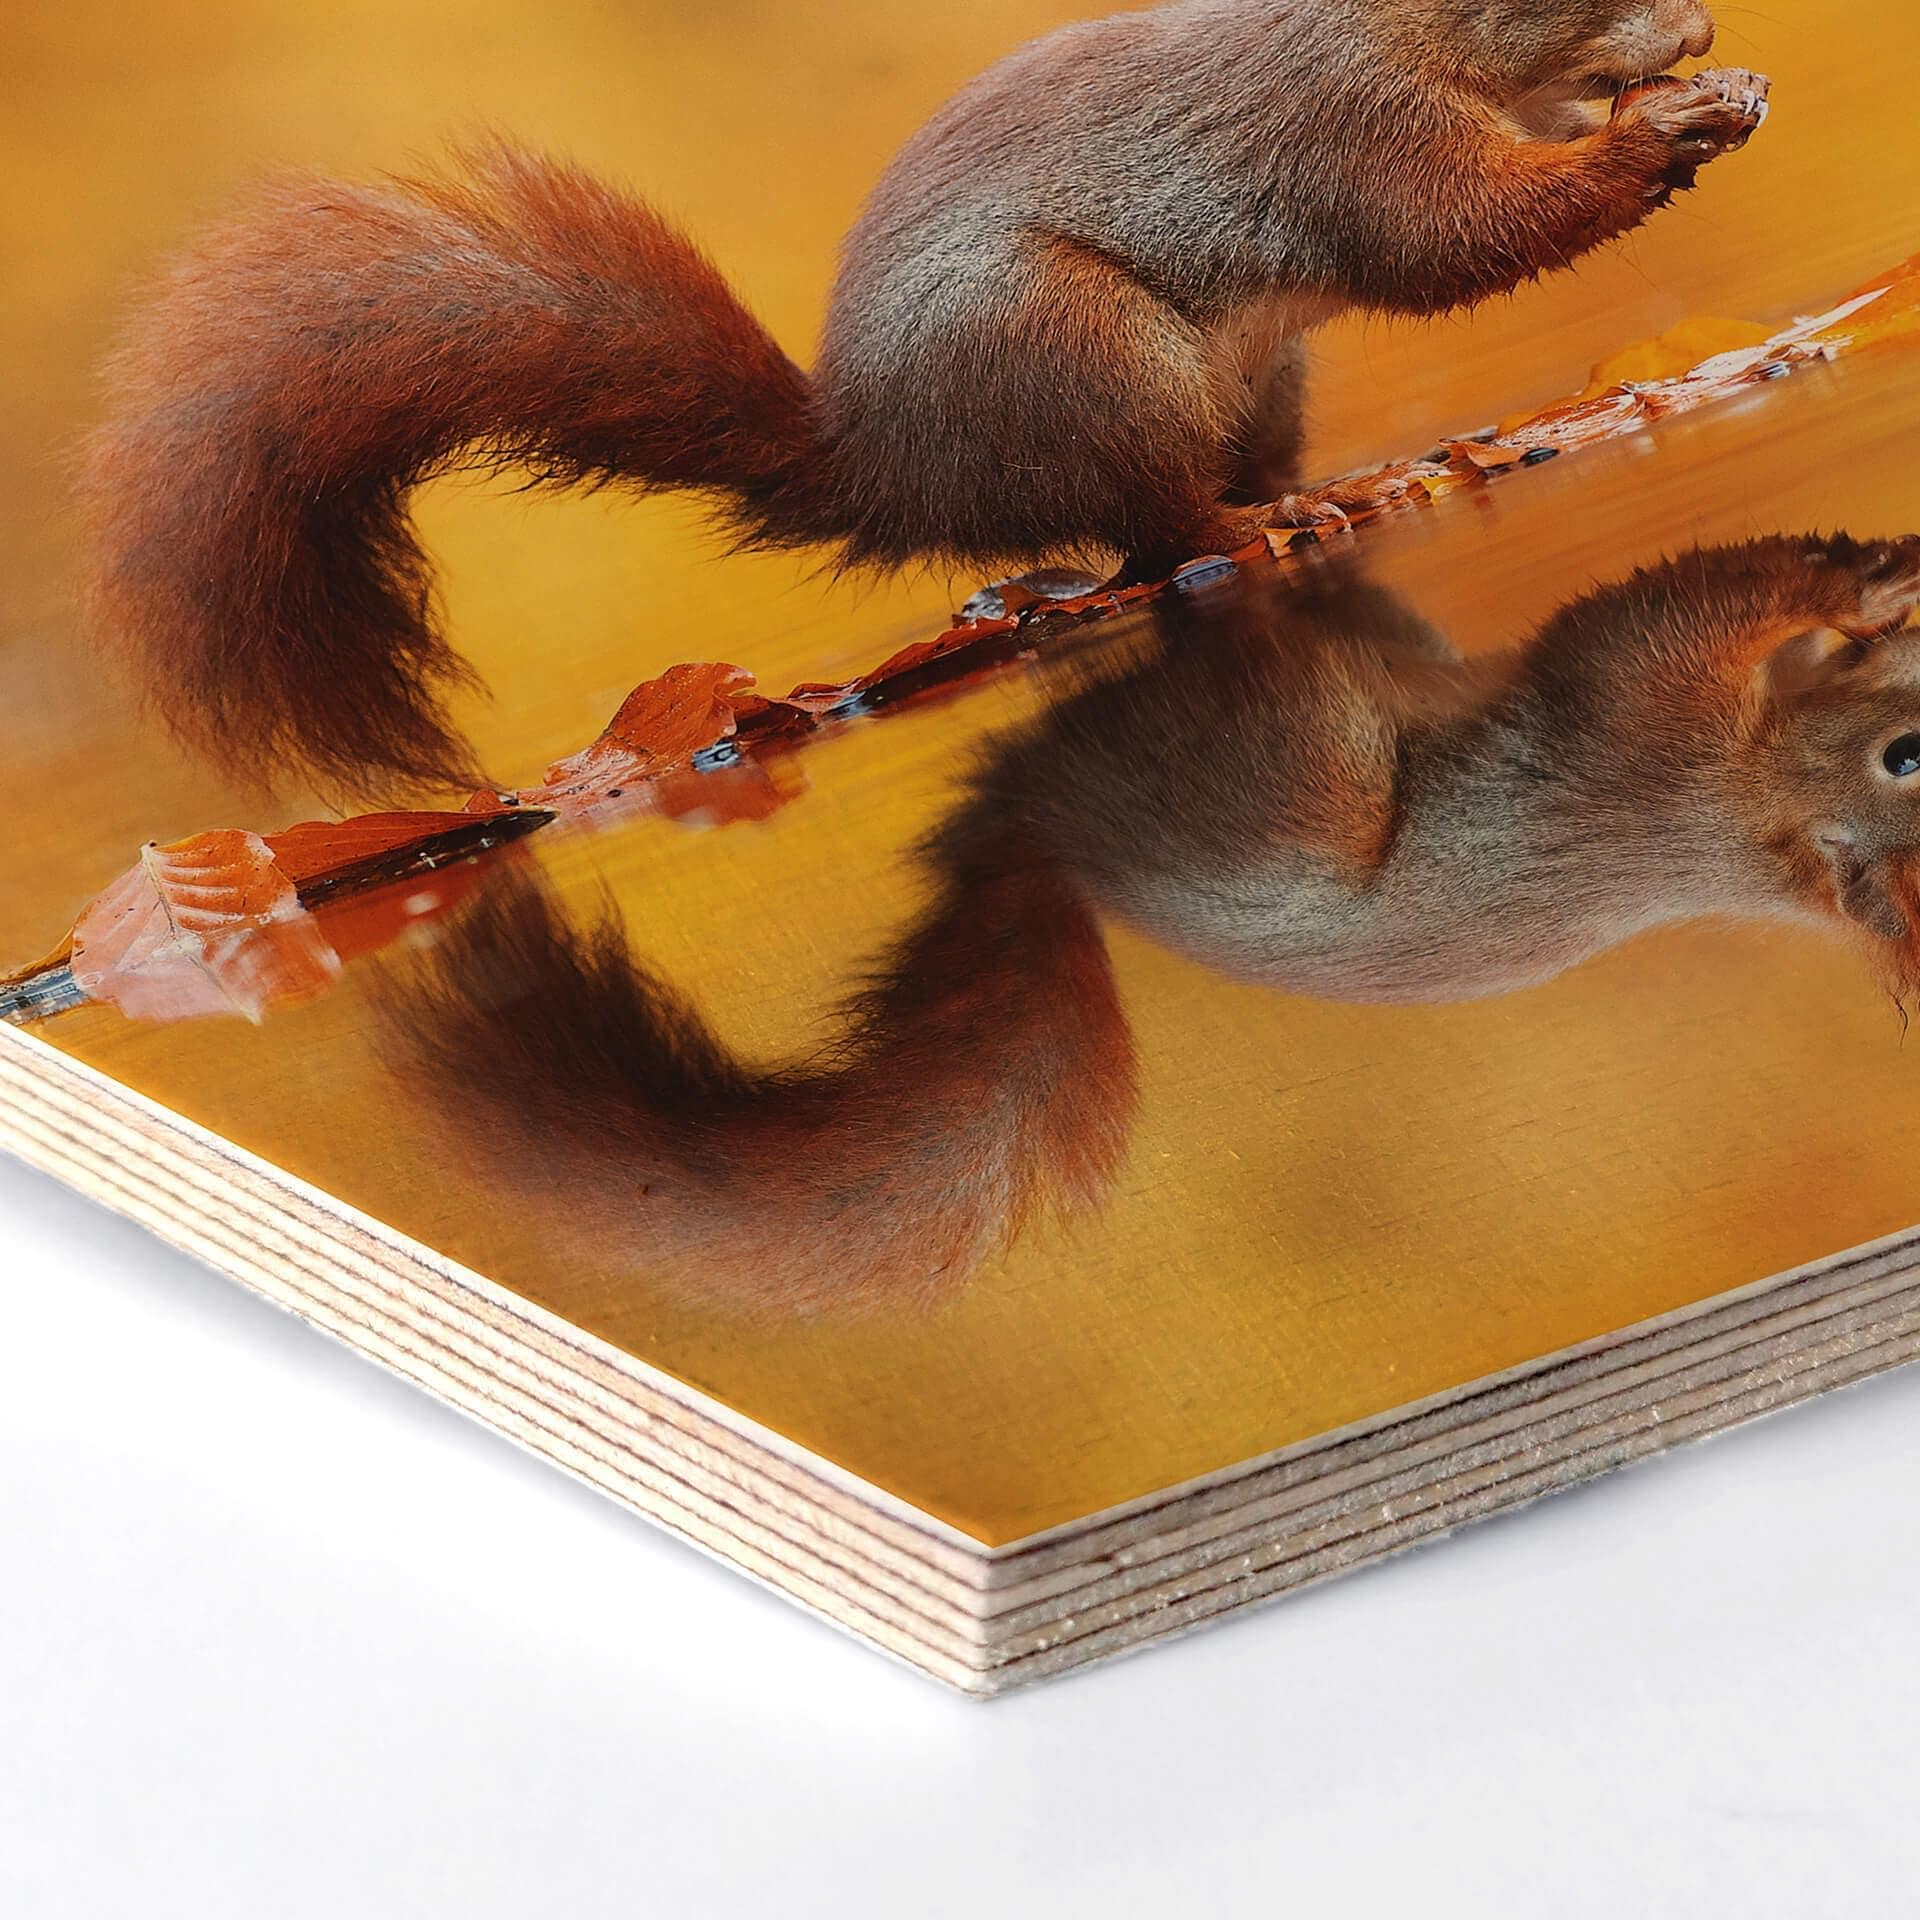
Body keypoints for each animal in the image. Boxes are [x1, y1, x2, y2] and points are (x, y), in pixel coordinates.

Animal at [80, 0, 1769, 794]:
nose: (1697, 26)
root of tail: (893, 468)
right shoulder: (1345, 125)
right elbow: (1448, 233)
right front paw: (1654, 132)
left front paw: (1706, 99)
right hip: (1083, 355)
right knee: (1154, 532)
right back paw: (1265, 524)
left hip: (1255, 371)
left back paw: (1319, 488)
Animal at [380, 535, 1920, 1313]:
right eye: (1907, 760)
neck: (1760, 804)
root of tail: (1054, 839)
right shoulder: (1658, 716)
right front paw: (1871, 569)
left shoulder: (1656, 721)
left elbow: (1683, 605)